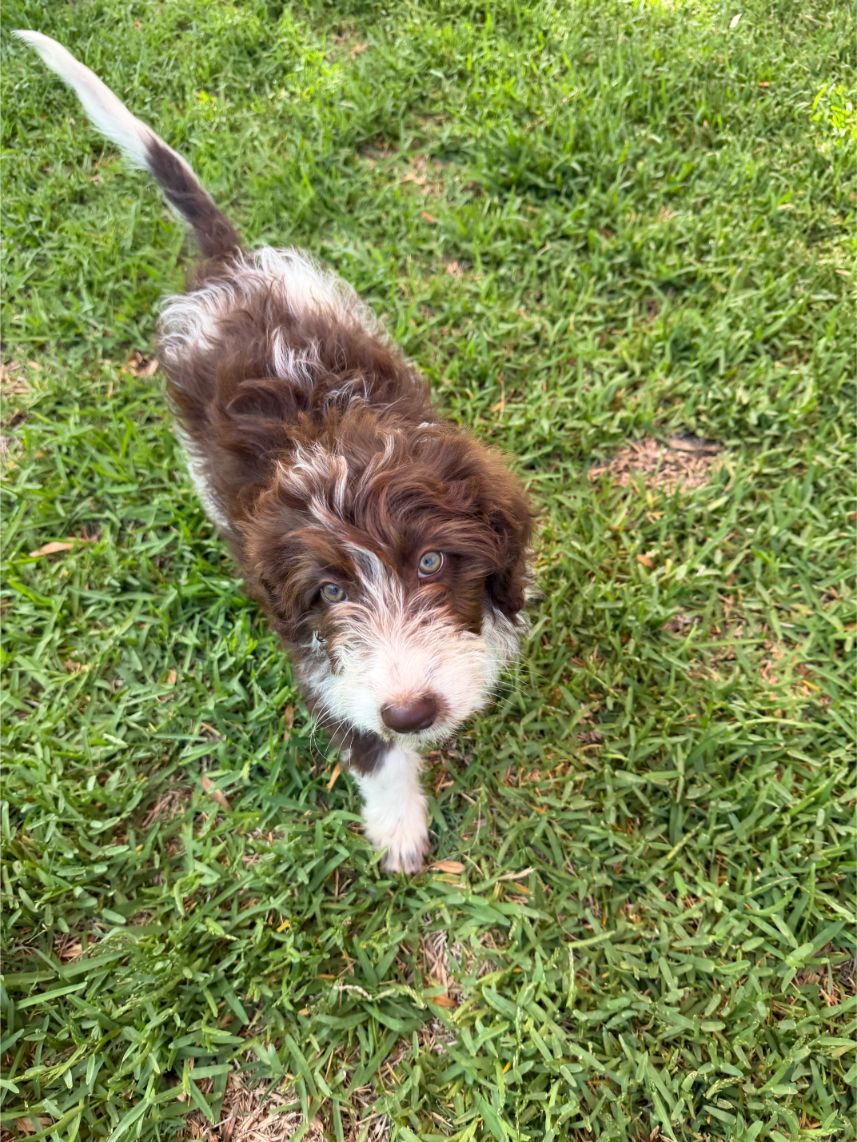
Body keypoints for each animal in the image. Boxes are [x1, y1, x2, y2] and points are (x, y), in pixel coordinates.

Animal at [16, 31, 532, 872]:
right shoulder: (321, 658)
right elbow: (366, 743)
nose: (412, 711)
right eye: (328, 592)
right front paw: (398, 826)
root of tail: (229, 269)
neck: (331, 444)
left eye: (431, 562)